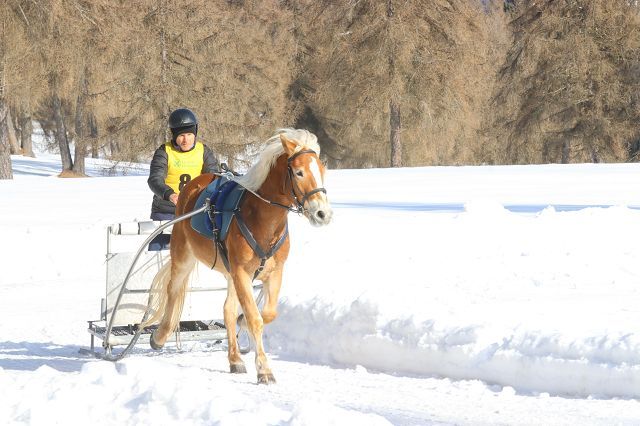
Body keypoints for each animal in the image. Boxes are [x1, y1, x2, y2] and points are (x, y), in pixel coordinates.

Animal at [141, 128, 332, 384]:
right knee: (173, 289)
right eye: (299, 172)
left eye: (321, 170)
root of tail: (193, 186)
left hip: (230, 273)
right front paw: (264, 369)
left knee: (228, 310)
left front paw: (246, 333)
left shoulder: (274, 272)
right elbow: (255, 318)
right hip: (183, 256)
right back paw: (160, 336)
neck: (262, 220)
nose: (323, 213)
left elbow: (266, 314)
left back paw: (234, 359)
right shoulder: (242, 272)